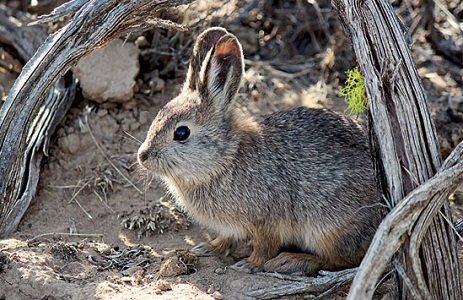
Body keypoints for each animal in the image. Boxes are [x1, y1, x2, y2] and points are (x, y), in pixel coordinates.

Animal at [138, 27, 384, 276]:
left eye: (181, 133)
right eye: (159, 115)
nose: (143, 156)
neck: (225, 159)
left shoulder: (266, 221)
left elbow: (265, 246)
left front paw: (250, 264)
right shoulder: (231, 226)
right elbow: (226, 238)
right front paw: (208, 247)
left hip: (329, 230)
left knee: (341, 260)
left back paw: (290, 261)